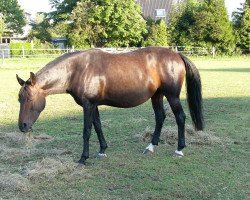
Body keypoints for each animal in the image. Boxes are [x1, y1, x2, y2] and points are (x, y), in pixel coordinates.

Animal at [15, 47, 203, 166]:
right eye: (19, 98)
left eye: (30, 98)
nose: (22, 126)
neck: (77, 70)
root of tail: (176, 54)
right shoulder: (94, 105)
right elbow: (98, 126)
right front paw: (102, 150)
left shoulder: (88, 105)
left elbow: (87, 131)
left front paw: (83, 158)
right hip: (156, 95)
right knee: (160, 117)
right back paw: (150, 147)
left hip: (172, 96)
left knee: (180, 117)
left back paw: (179, 149)